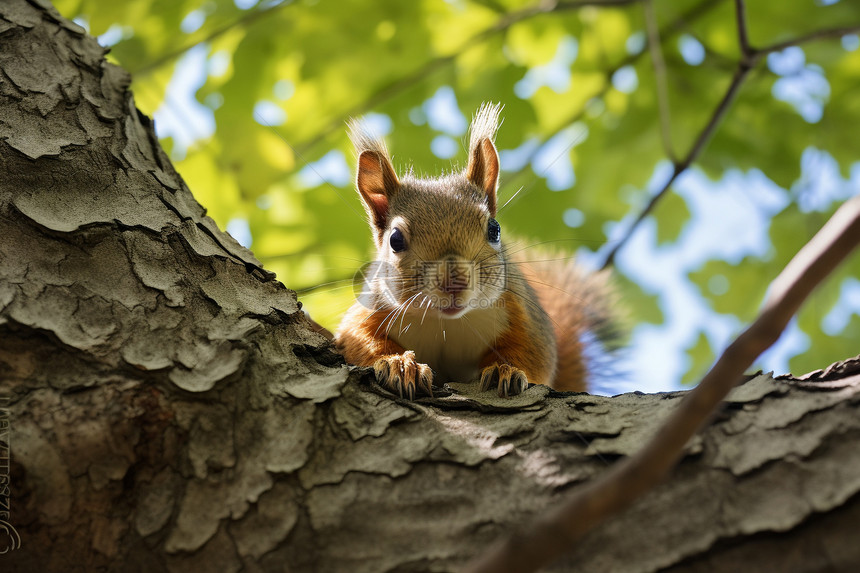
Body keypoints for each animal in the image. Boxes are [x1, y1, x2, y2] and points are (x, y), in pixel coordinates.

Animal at [330, 103, 620, 398]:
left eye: (494, 229)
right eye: (395, 240)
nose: (454, 282)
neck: (445, 322)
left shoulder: (521, 312)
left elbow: (532, 353)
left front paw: (505, 370)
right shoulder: (371, 307)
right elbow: (361, 340)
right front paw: (398, 364)